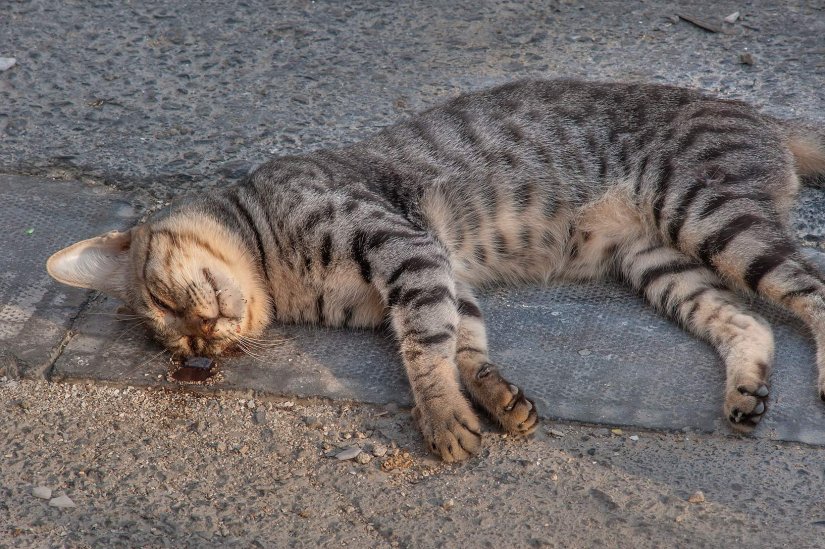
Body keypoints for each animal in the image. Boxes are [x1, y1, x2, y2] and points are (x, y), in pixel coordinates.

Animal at [46, 78, 824, 462]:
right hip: (659, 263)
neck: (280, 271)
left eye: (165, 299)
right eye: (177, 346)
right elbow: (463, 345)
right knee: (749, 321)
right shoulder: (442, 272)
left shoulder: (402, 246)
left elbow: (423, 349)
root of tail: (756, 115)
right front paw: (492, 398)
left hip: (704, 211)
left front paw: (444, 421)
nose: (203, 341)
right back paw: (745, 391)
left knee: (810, 288)